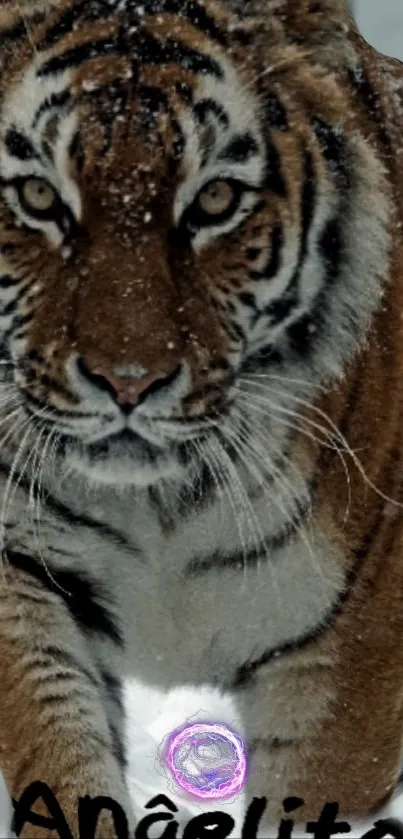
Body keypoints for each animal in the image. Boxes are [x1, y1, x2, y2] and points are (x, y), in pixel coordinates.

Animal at [0, 0, 402, 836]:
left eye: (214, 200)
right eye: (40, 197)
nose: (127, 382)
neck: (160, 505)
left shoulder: (353, 650)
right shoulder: (23, 574)